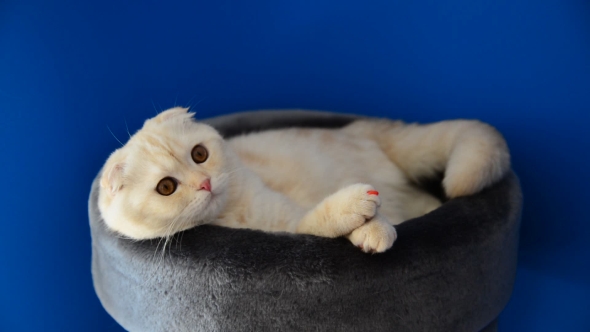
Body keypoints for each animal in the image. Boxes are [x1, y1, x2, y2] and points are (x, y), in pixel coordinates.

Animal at [97, 107, 508, 253]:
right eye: (166, 187)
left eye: (200, 154)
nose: (204, 183)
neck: (234, 216)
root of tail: (361, 128)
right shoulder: (293, 226)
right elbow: (319, 220)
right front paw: (361, 215)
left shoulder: (285, 211)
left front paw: (374, 226)